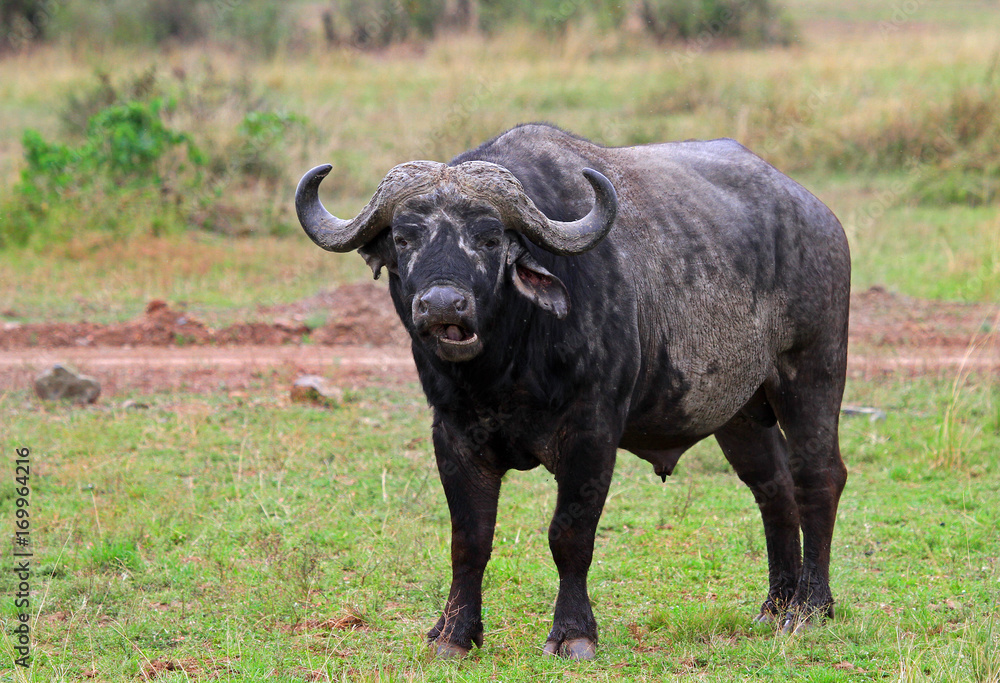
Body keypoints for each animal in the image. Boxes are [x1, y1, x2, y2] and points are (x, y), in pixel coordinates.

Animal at [292, 124, 848, 664]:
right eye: (404, 238)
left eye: (489, 238)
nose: (443, 304)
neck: (505, 370)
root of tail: (820, 217)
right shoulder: (452, 434)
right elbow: (469, 540)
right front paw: (453, 633)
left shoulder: (592, 434)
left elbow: (569, 536)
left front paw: (573, 634)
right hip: (739, 413)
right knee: (773, 489)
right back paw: (776, 605)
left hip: (814, 372)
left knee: (818, 477)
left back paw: (810, 608)